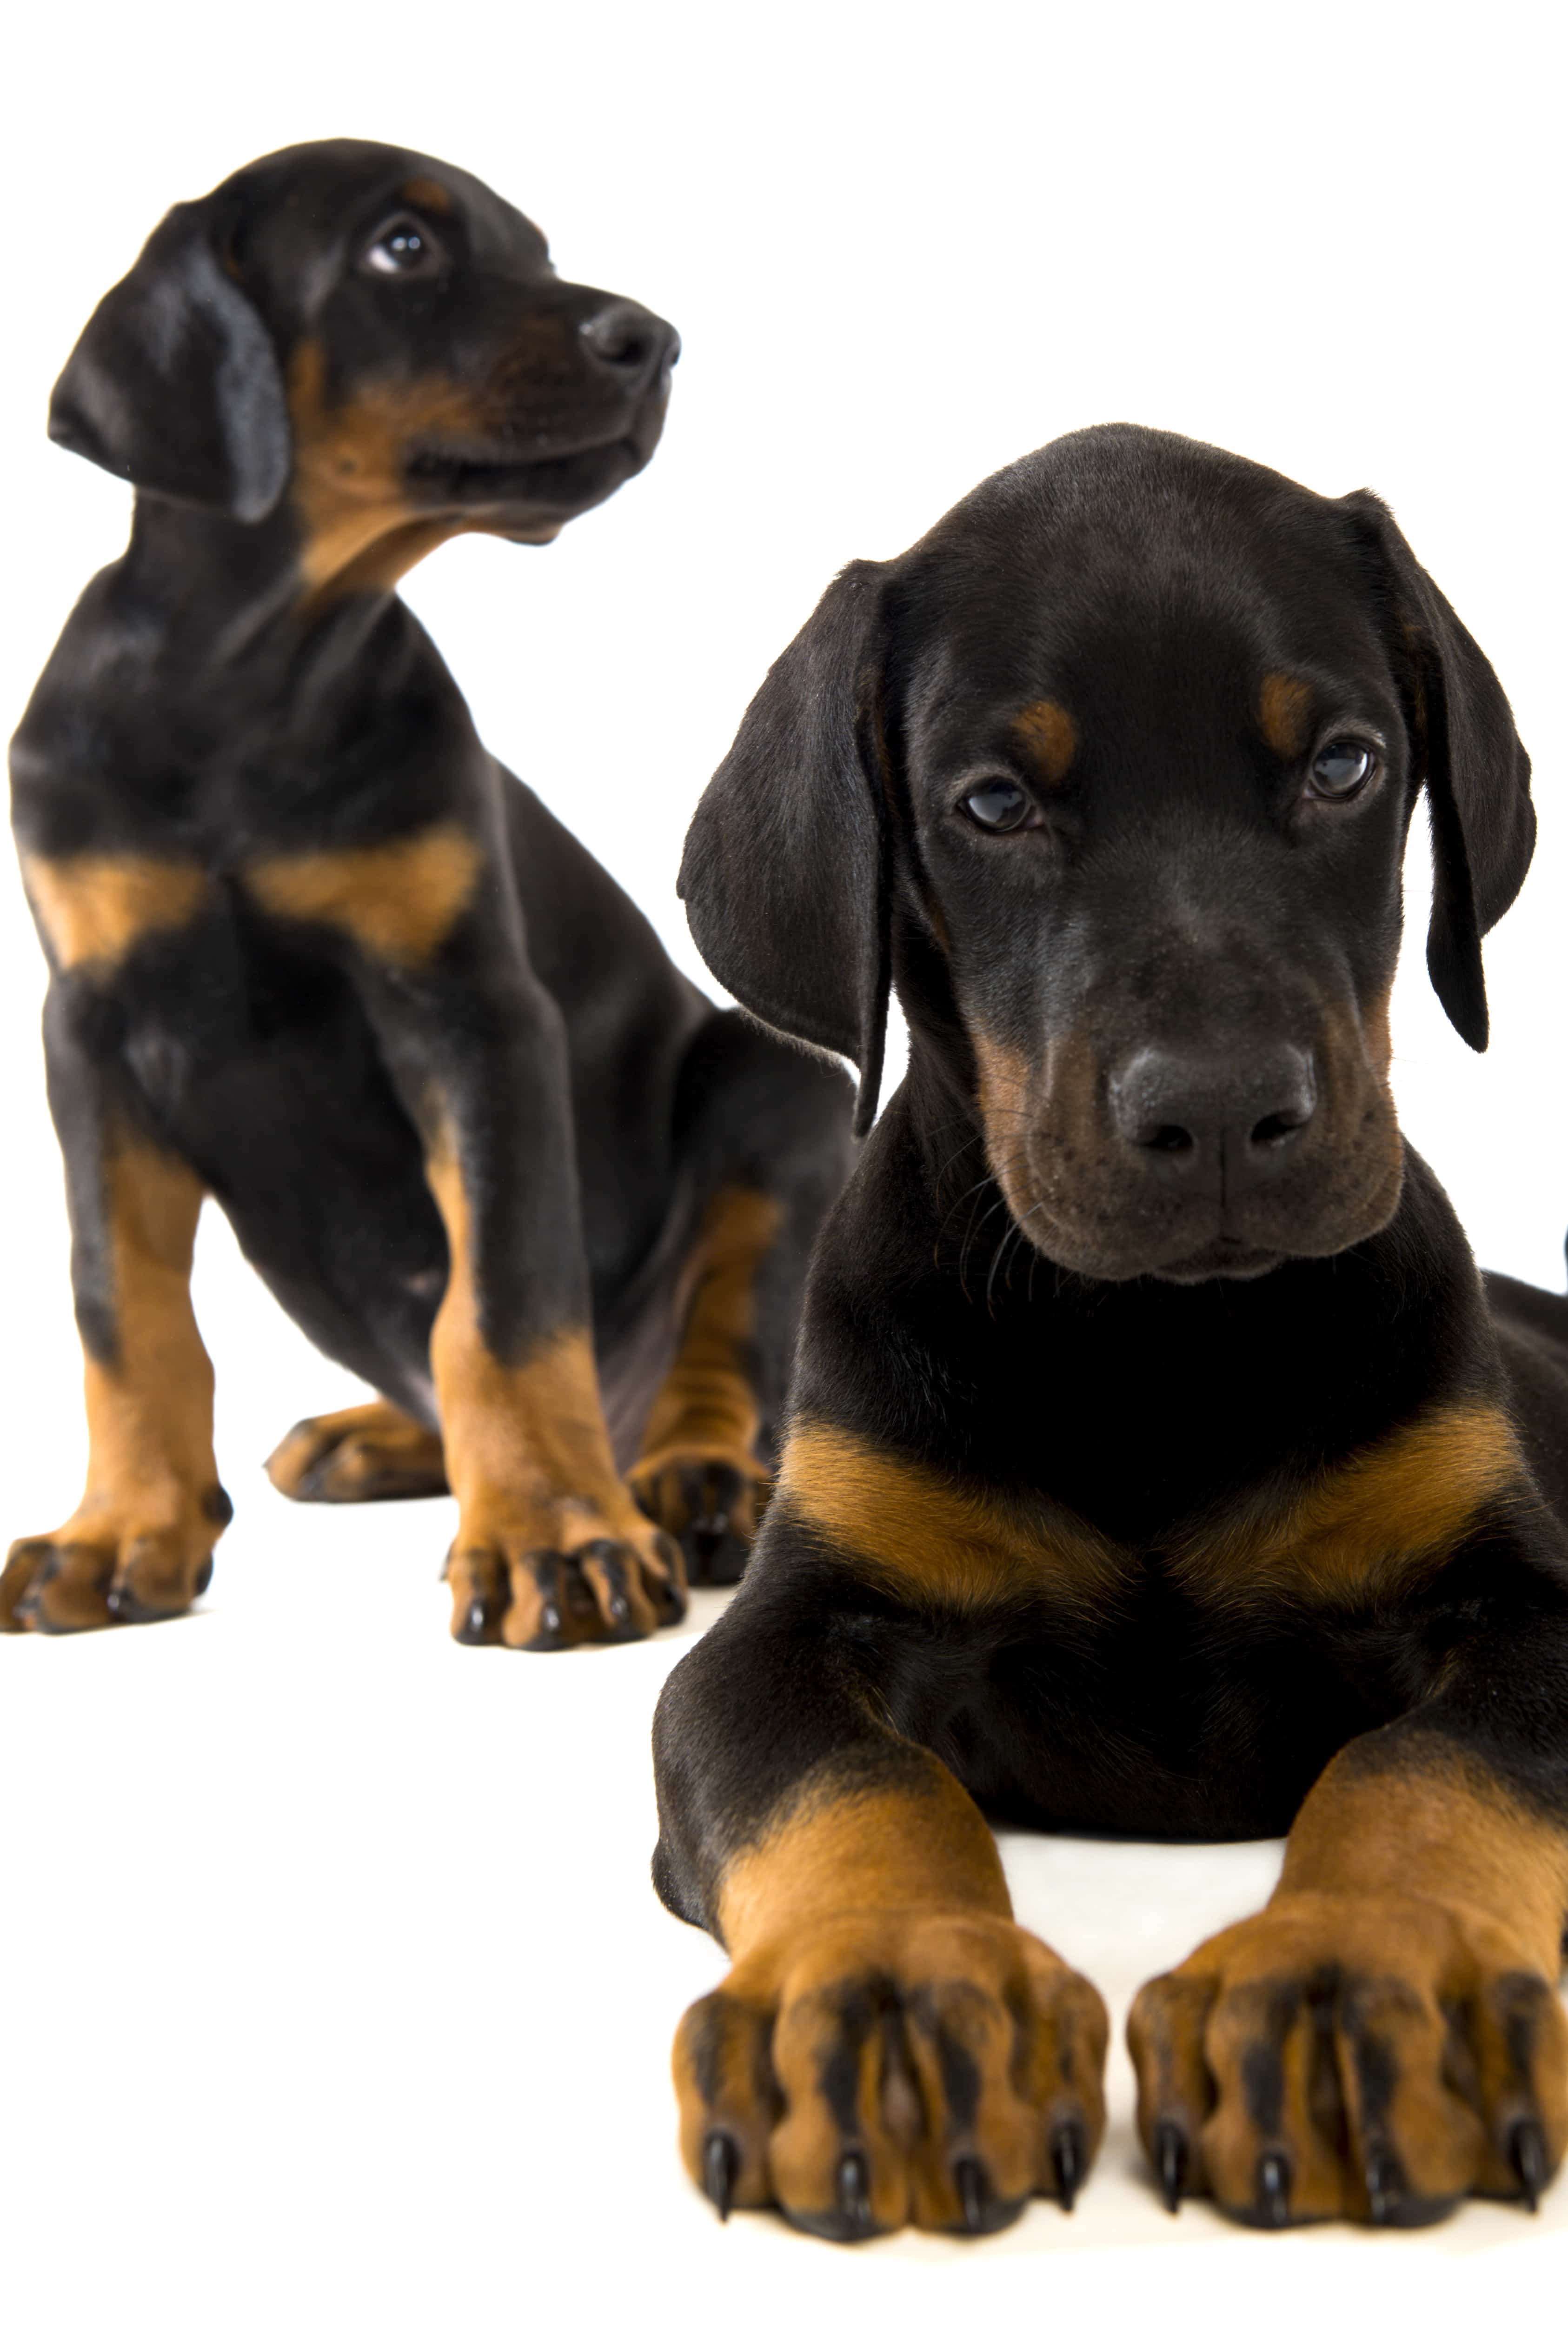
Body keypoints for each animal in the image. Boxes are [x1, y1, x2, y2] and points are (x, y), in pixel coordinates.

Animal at [3, 137, 859, 1644]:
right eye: (402, 247)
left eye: (537, 249)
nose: (657, 340)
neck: (246, 682)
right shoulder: (89, 1029)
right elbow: (126, 1306)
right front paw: (122, 1530)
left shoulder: (469, 1009)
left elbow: (504, 1300)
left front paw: (553, 1536)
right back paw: (384, 1439)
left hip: (781, 1093)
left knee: (722, 1350)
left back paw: (686, 1480)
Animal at [652, 423, 1568, 2236]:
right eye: (995, 805)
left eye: (1344, 764)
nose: (1215, 1114)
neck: (1154, 1348)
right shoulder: (777, 1632)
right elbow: (848, 1782)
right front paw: (883, 1987)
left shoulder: (1529, 1606)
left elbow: (1425, 1773)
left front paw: (1364, 1970)